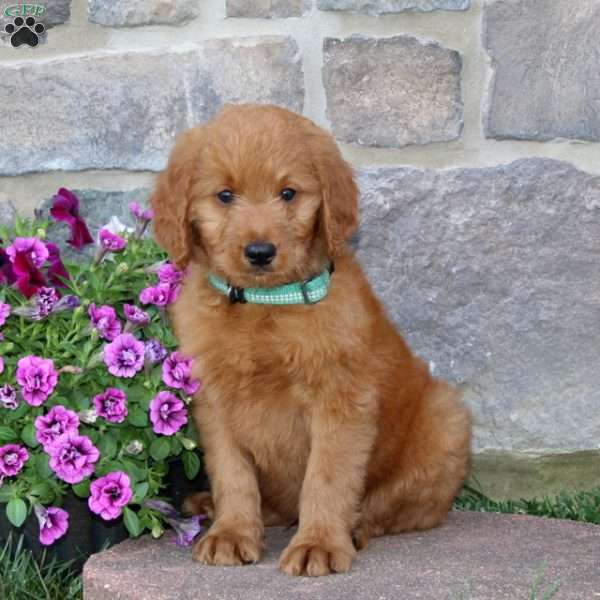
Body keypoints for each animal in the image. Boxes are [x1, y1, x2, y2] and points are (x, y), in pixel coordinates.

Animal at [149, 103, 468, 576]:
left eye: (288, 194)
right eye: (224, 196)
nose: (260, 252)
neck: (264, 304)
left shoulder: (341, 401)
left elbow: (327, 477)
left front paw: (318, 543)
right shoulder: (215, 404)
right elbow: (232, 474)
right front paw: (232, 533)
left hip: (446, 420)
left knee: (404, 508)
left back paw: (355, 526)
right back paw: (214, 508)